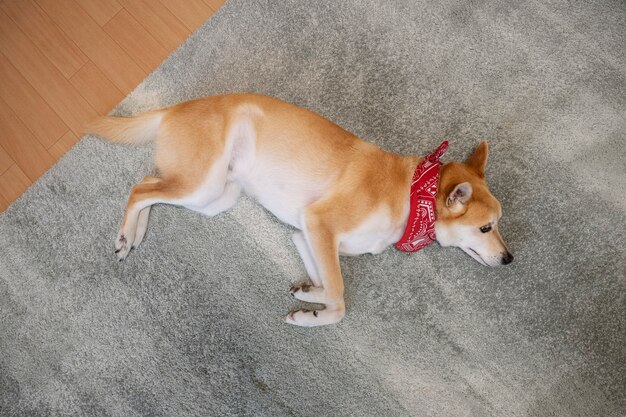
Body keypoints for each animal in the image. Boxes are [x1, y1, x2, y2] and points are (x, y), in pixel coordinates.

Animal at [85, 92, 510, 326]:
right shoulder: (320, 225)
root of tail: (176, 107)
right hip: (202, 184)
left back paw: (136, 233)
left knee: (150, 186)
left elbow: (329, 287)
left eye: (497, 223)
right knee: (139, 188)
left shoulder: (307, 236)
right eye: (486, 228)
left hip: (214, 197)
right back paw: (125, 236)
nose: (509, 259)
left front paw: (307, 295)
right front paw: (314, 317)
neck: (412, 193)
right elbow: (340, 299)